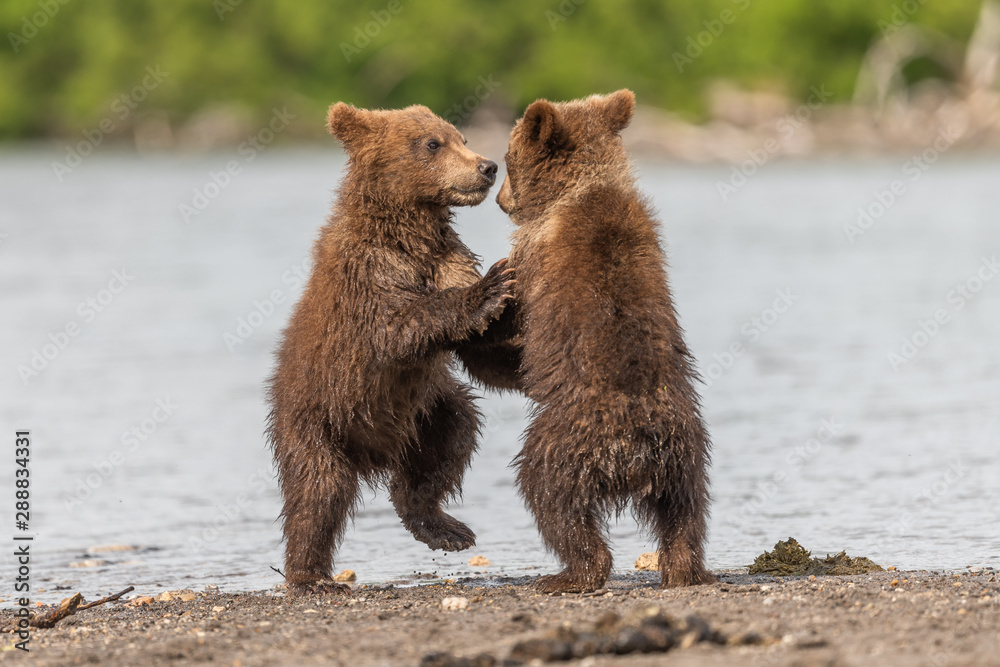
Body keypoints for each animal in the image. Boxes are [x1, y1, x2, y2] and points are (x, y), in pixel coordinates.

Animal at [266, 102, 514, 595]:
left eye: (460, 136)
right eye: (433, 143)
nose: (487, 167)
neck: (409, 226)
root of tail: (375, 454)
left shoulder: (445, 255)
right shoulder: (369, 275)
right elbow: (398, 327)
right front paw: (490, 288)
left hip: (430, 408)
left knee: (451, 440)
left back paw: (443, 527)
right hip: (316, 419)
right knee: (318, 491)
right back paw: (310, 575)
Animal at [494, 89, 715, 592]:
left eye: (507, 158)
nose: (500, 200)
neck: (581, 187)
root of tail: (633, 449)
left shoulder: (534, 251)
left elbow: (517, 316)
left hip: (562, 443)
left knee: (551, 499)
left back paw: (569, 574)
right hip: (686, 454)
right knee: (686, 514)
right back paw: (684, 569)